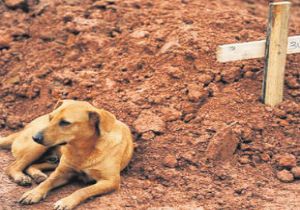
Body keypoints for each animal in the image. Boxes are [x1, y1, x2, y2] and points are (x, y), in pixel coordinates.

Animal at [0, 100, 134, 210]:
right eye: (51, 118)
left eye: (65, 123)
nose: (35, 137)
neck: (83, 150)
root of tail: (22, 129)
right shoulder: (63, 172)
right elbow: (48, 182)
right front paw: (34, 193)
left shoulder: (110, 181)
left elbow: (83, 190)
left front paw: (66, 201)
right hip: (37, 148)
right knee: (13, 166)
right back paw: (21, 177)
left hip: (52, 160)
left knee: (31, 166)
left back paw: (37, 175)